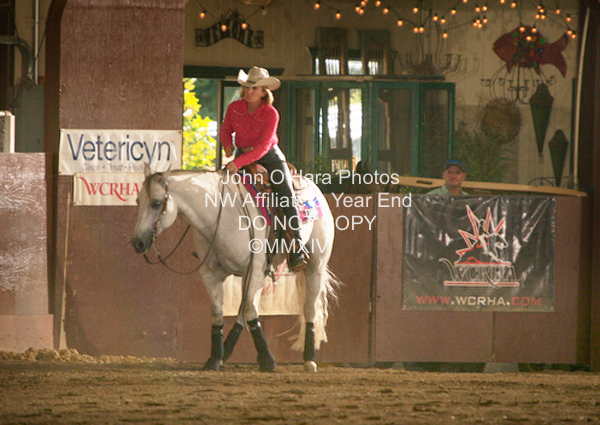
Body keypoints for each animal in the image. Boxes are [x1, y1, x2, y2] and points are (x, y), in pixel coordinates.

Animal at [131, 163, 339, 372]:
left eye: (156, 203)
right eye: (138, 201)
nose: (137, 243)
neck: (221, 215)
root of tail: (314, 188)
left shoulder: (254, 269)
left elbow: (250, 311)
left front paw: (267, 359)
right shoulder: (211, 274)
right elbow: (220, 312)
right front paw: (215, 358)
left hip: (315, 266)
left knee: (308, 308)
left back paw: (309, 358)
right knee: (246, 308)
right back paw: (227, 350)